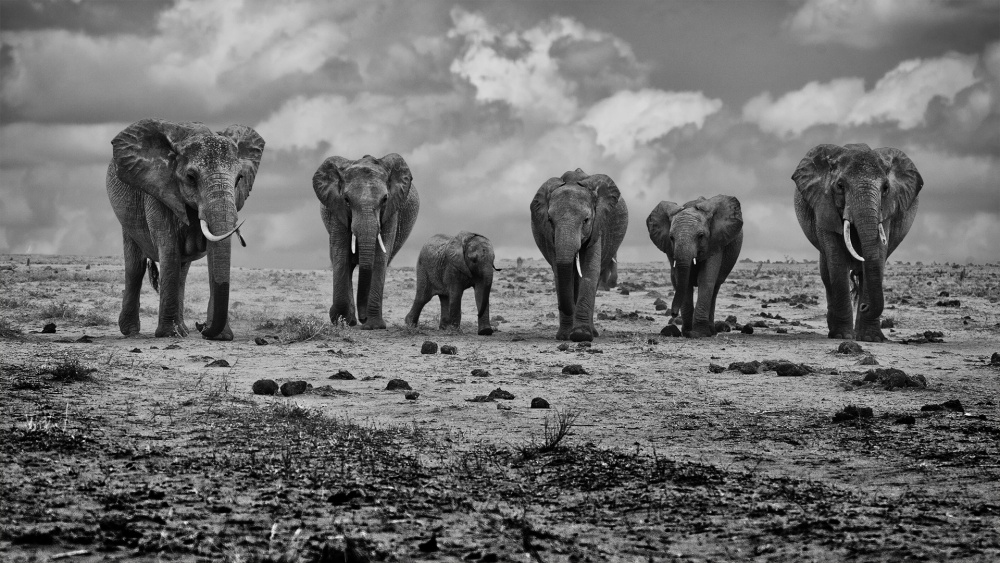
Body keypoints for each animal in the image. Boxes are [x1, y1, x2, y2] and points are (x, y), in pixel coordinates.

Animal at [106, 118, 265, 340]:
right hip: (126, 216)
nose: (201, 326)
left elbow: (212, 255)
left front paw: (220, 337)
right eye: (191, 177)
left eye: (239, 179)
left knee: (182, 270)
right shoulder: (159, 193)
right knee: (136, 266)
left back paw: (182, 331)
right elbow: (169, 249)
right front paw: (168, 334)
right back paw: (132, 332)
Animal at [313, 154, 419, 329]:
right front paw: (341, 320)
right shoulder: (336, 209)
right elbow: (340, 254)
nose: (363, 318)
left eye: (385, 199)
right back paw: (349, 321)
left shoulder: (392, 210)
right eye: (346, 200)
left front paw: (374, 326)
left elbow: (380, 257)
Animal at [530, 168, 628, 341]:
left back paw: (592, 332)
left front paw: (581, 335)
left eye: (586, 220)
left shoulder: (597, 226)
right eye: (550, 220)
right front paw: (565, 336)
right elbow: (559, 272)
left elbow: (590, 270)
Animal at [646, 195, 743, 338]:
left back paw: (711, 332)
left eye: (701, 236)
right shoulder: (670, 249)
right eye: (671, 238)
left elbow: (706, 279)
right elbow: (683, 281)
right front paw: (687, 332)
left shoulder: (715, 242)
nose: (673, 314)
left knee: (715, 288)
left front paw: (699, 333)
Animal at [792, 143, 922, 342]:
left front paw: (871, 339)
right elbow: (836, 260)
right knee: (826, 274)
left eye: (886, 188)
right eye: (840, 186)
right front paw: (842, 336)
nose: (864, 307)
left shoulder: (886, 211)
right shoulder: (824, 205)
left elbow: (878, 254)